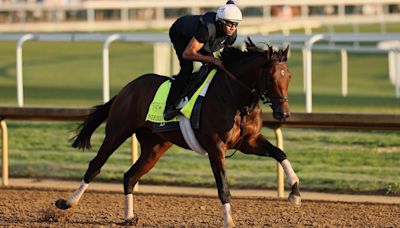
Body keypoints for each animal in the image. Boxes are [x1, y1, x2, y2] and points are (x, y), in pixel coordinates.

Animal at [55, 38, 300, 227]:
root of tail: (127, 88)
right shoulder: (216, 147)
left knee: (129, 176)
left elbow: (280, 153)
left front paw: (295, 192)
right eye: (271, 77)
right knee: (95, 166)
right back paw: (68, 202)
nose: (283, 113)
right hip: (117, 131)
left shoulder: (249, 141)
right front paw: (228, 221)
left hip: (155, 147)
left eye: (289, 77)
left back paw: (129, 217)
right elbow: (223, 186)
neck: (236, 99)